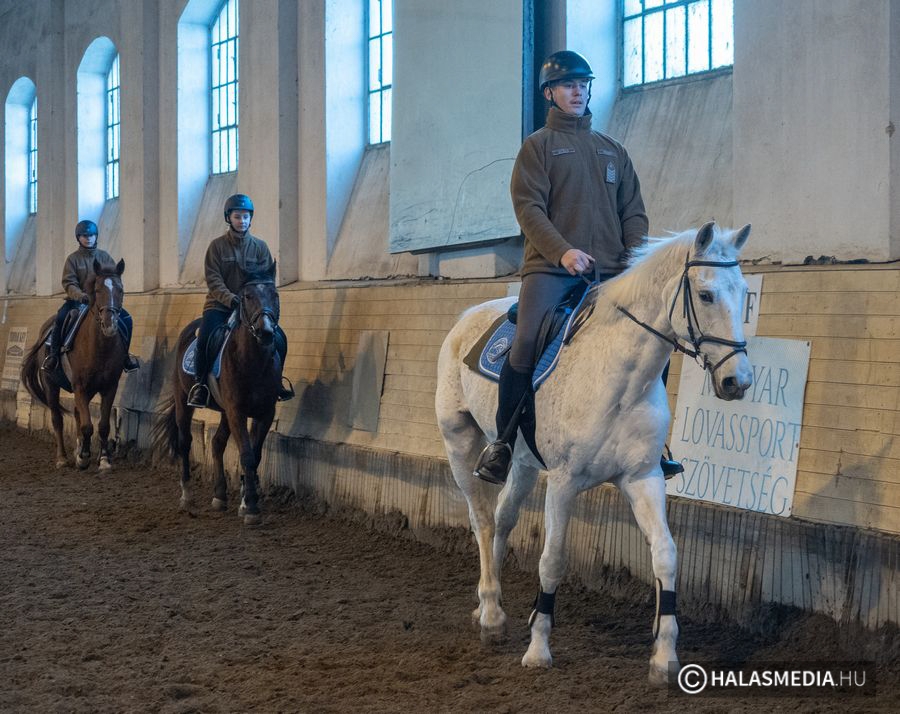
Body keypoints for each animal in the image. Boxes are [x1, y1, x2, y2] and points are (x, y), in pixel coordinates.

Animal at [21, 258, 129, 471]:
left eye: (120, 289)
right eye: (97, 290)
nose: (110, 324)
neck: (99, 347)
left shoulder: (109, 387)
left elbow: (103, 426)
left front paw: (104, 459)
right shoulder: (79, 386)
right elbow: (87, 426)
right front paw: (84, 457)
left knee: (79, 413)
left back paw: (77, 451)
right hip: (51, 385)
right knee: (57, 419)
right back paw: (62, 458)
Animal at [152, 262, 285, 526]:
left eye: (274, 294)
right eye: (247, 296)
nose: (266, 332)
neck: (253, 361)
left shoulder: (264, 412)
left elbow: (255, 455)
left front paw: (245, 502)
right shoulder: (237, 412)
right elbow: (246, 455)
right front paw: (251, 508)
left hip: (224, 411)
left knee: (216, 443)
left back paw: (220, 496)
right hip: (185, 401)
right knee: (185, 442)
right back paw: (187, 496)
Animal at [435, 222, 753, 685]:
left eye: (744, 294)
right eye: (706, 294)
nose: (737, 381)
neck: (620, 378)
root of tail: (465, 318)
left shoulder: (643, 478)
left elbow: (666, 555)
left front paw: (664, 656)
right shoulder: (564, 482)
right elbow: (552, 560)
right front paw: (538, 650)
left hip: (523, 463)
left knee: (503, 519)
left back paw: (487, 607)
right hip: (460, 442)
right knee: (482, 521)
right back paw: (492, 616)